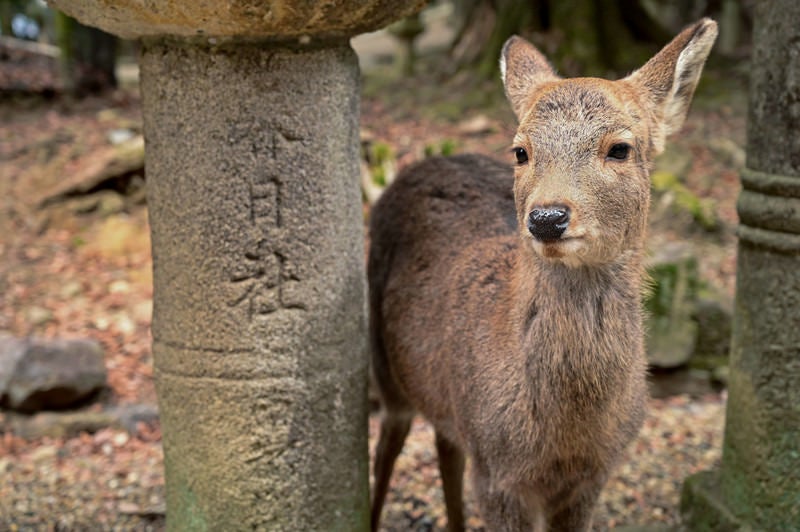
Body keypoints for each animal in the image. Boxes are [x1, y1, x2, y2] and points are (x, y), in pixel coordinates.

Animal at [368, 18, 720, 528]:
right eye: (520, 151)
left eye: (620, 148)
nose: (548, 217)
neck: (564, 437)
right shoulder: (496, 473)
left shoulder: (592, 477)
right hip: (383, 361)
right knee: (387, 446)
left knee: (444, 446)